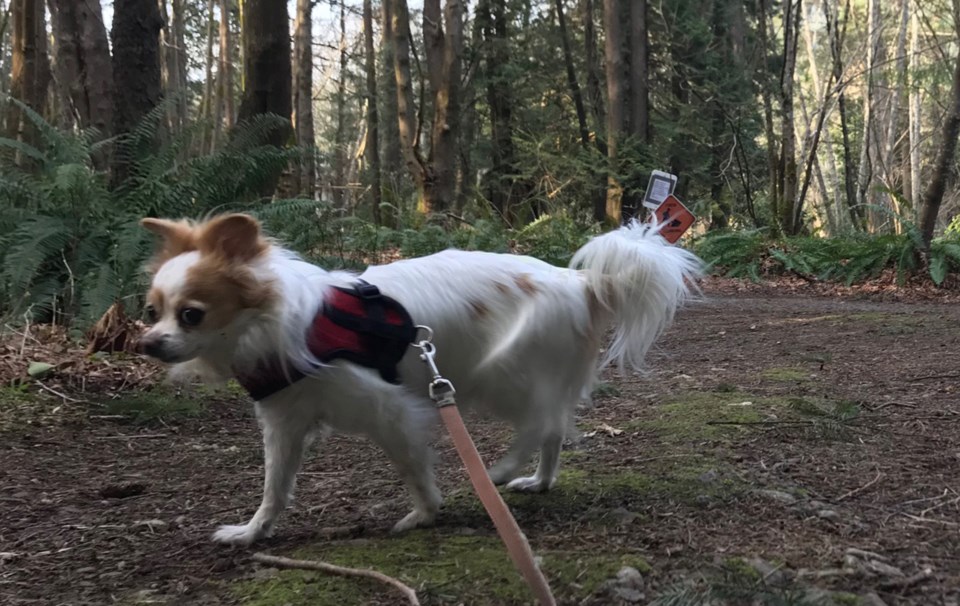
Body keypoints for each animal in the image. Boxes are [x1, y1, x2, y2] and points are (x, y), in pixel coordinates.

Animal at [139, 213, 700, 548]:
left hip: (499, 375)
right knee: (553, 429)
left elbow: (412, 470)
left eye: (191, 315)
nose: (146, 344)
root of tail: (580, 280)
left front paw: (425, 514)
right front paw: (252, 532)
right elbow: (274, 489)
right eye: (152, 311)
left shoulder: (393, 411)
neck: (280, 322)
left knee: (541, 425)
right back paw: (538, 482)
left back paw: (499, 473)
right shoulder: (284, 423)